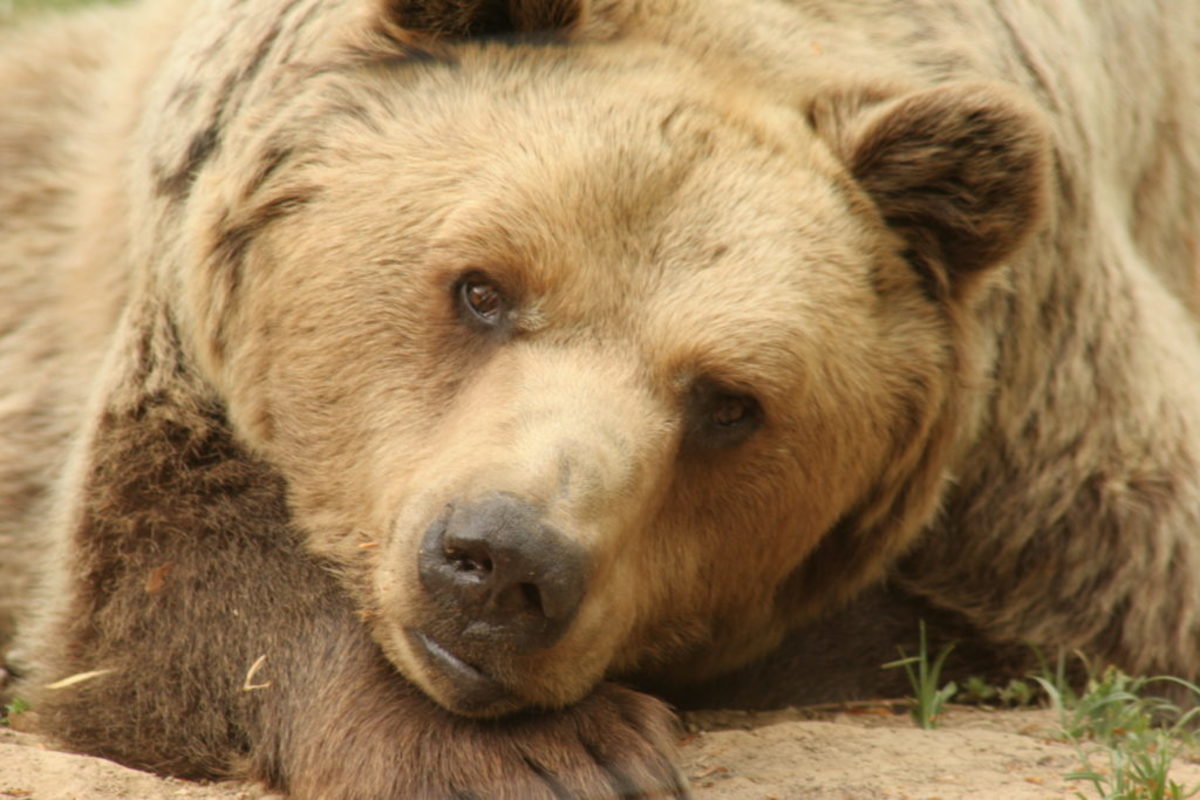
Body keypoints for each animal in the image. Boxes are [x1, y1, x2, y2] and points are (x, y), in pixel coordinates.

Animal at [7, 0, 1200, 796]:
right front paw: (557, 754)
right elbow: (176, 579)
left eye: (728, 401)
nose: (501, 562)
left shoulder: (1047, 455)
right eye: (481, 287)